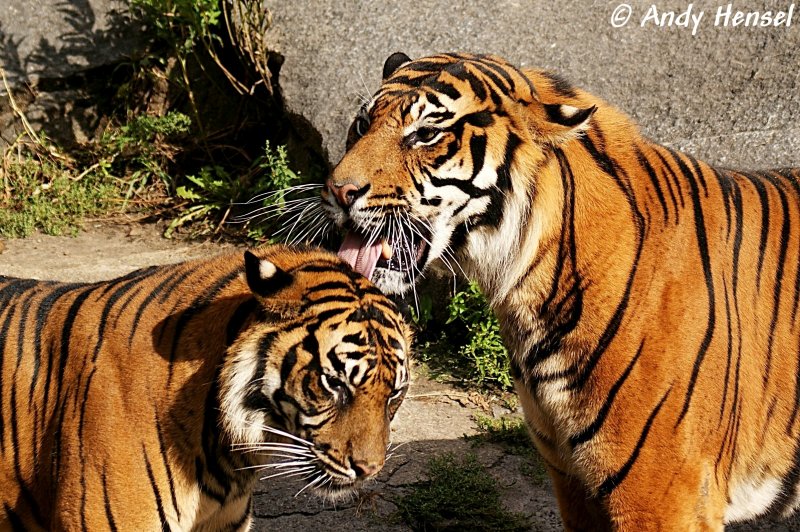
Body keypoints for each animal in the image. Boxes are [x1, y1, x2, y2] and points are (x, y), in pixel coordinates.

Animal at [316, 52, 800, 528]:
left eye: (426, 134)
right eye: (362, 124)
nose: (338, 191)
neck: (532, 295)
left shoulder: (662, 495)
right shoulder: (572, 477)